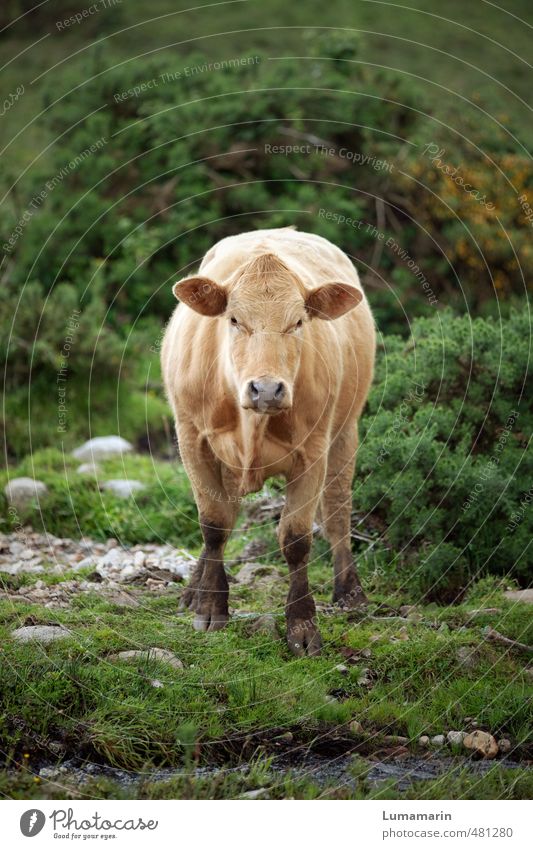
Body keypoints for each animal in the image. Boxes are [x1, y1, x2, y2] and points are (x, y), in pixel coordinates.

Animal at [162, 225, 374, 656]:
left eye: (298, 322)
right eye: (234, 319)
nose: (266, 389)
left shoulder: (313, 451)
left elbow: (296, 539)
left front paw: (302, 626)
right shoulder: (191, 439)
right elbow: (213, 525)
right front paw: (211, 608)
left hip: (345, 432)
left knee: (338, 512)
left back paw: (351, 592)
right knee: (225, 517)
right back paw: (193, 590)